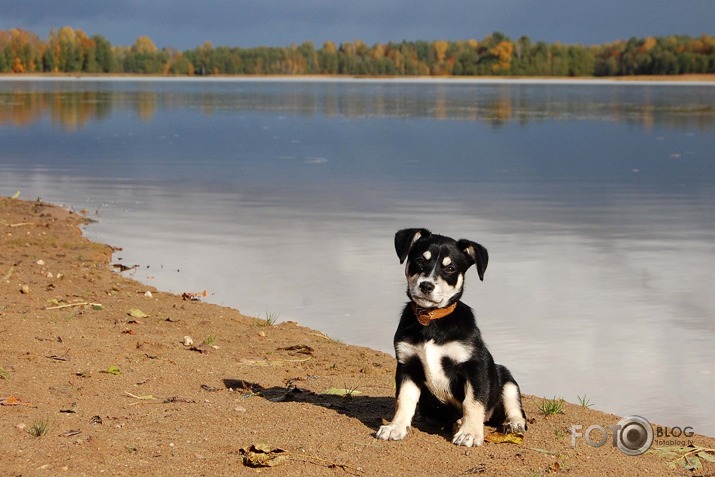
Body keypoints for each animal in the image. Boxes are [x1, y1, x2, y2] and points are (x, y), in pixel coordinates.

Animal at [378, 228, 528, 446]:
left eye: (450, 268)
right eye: (419, 260)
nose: (426, 286)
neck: (431, 320)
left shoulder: (475, 367)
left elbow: (473, 401)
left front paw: (470, 433)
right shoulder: (407, 365)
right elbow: (403, 400)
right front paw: (395, 427)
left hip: (506, 378)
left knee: (514, 406)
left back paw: (512, 423)